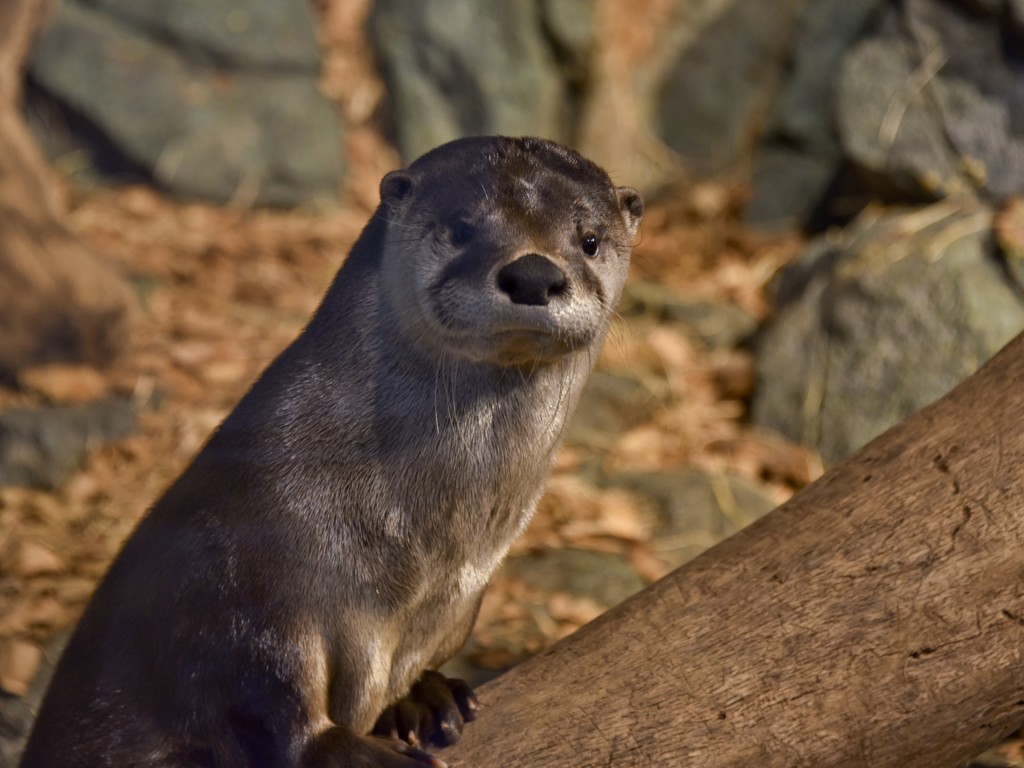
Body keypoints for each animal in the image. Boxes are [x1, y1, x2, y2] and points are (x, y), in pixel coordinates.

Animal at [19, 135, 643, 765]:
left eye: (589, 239)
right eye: (462, 228)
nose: (534, 274)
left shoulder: (455, 604)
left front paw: (424, 696)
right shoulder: (243, 581)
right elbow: (266, 699)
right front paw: (360, 751)